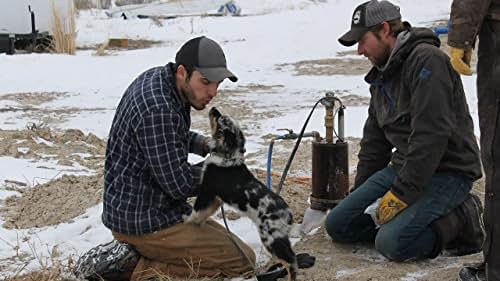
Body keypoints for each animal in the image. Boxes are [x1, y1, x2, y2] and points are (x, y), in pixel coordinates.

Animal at [187, 107, 296, 280]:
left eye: (221, 120)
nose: (214, 108)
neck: (227, 155)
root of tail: (288, 213)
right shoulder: (216, 199)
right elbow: (203, 214)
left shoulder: (207, 191)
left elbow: (196, 211)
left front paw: (188, 221)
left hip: (271, 238)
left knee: (290, 261)